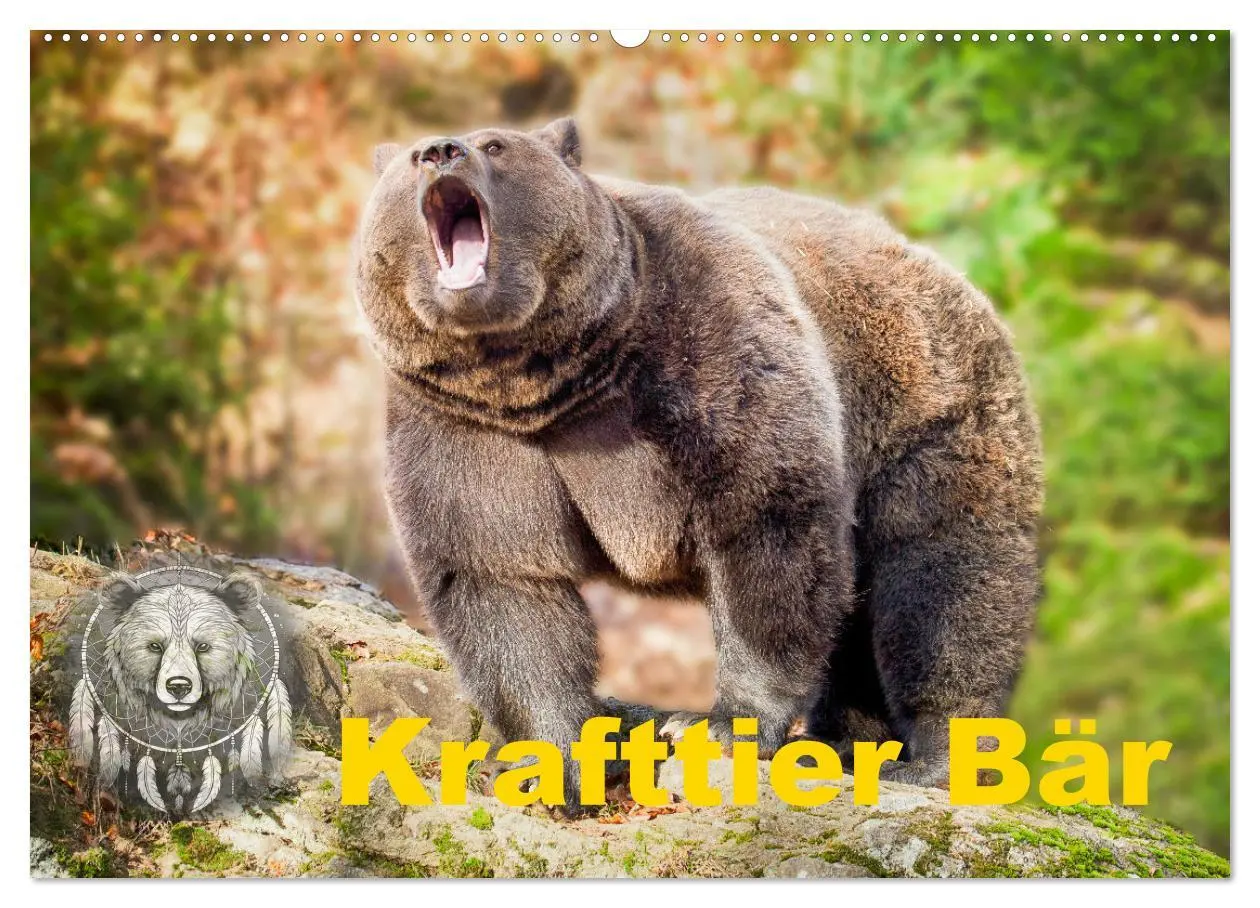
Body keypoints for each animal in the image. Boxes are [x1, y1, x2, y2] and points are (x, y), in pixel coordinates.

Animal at [354, 117, 1043, 805]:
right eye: (411, 158)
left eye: (497, 145)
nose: (441, 151)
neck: (546, 379)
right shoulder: (464, 426)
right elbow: (502, 576)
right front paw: (556, 764)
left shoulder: (701, 349)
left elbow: (763, 524)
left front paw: (718, 724)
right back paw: (847, 740)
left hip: (923, 415)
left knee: (942, 580)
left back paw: (934, 757)